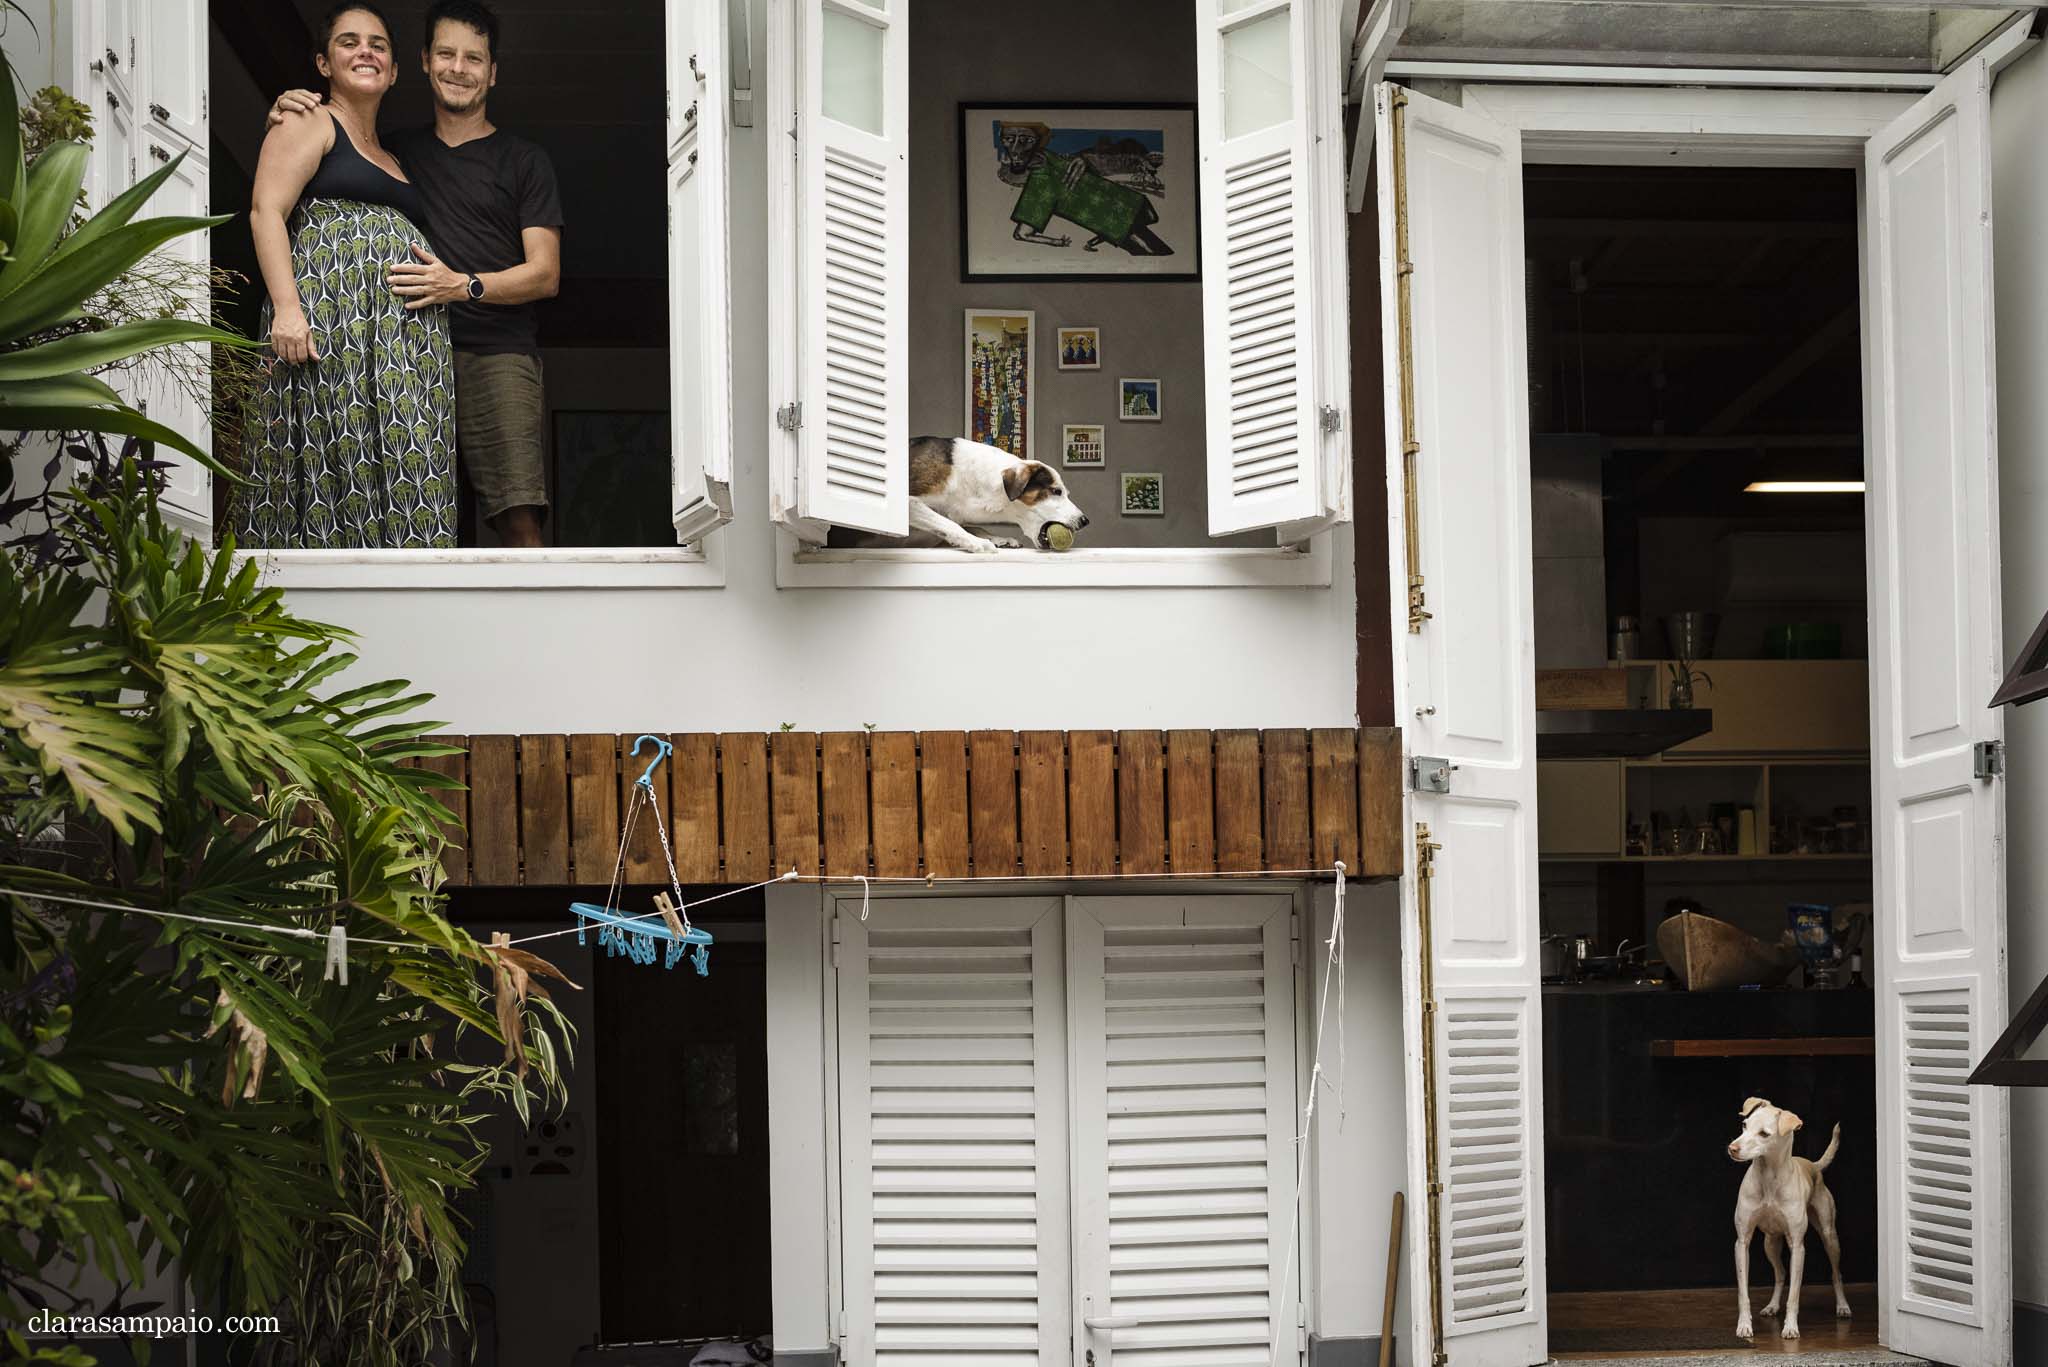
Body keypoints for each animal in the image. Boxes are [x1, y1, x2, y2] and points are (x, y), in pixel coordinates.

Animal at [823, 432, 1097, 549]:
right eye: (1056, 491)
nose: (1085, 520)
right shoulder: (910, 503)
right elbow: (950, 524)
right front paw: (978, 543)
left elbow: (964, 523)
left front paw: (996, 538)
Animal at [1728, 1098, 1859, 1344]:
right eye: (1744, 1125)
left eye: (1764, 1134)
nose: (1733, 1148)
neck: (1769, 1178)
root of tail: (1814, 1166)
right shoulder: (1742, 1242)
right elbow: (1743, 1292)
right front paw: (1744, 1326)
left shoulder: (1798, 1247)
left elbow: (1795, 1295)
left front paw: (1790, 1328)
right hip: (1770, 1243)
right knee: (1780, 1274)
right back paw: (1772, 1306)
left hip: (1829, 1236)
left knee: (1836, 1273)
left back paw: (1843, 1306)